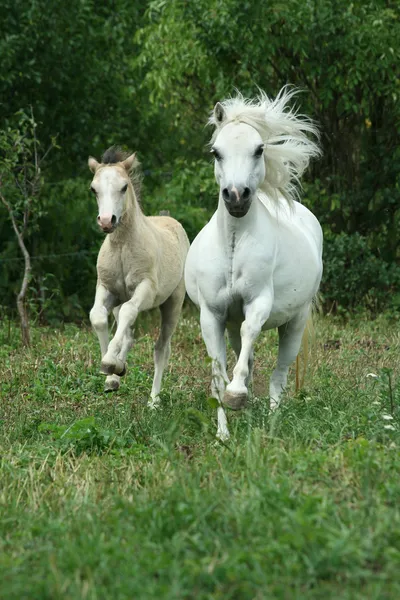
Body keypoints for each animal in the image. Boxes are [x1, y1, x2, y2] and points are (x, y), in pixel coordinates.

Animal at [87, 148, 189, 406]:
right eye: (93, 189)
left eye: (124, 187)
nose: (107, 221)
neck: (122, 246)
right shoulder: (107, 289)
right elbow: (98, 317)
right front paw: (110, 371)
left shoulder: (145, 289)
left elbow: (128, 312)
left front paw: (110, 363)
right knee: (128, 334)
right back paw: (118, 373)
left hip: (173, 303)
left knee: (161, 348)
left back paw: (153, 400)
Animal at [186, 86, 324, 438]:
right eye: (216, 152)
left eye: (259, 149)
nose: (236, 196)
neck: (234, 246)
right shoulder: (213, 315)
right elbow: (219, 372)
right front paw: (223, 433)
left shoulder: (258, 303)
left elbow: (251, 335)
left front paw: (237, 395)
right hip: (232, 325)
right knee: (245, 361)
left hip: (295, 323)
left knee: (279, 375)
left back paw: (272, 424)